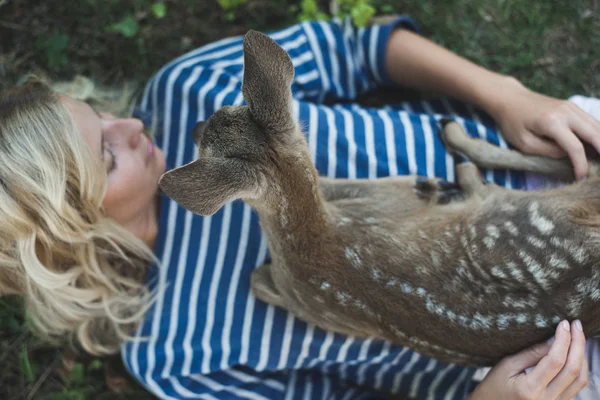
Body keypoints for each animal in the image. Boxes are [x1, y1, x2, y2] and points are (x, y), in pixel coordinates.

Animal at [158, 30, 600, 368]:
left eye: (204, 141)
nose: (195, 124)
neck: (310, 241)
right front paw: (426, 185)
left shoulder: (319, 309)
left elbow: (254, 278)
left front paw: (428, 183)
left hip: (517, 211)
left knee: (569, 165)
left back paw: (456, 147)